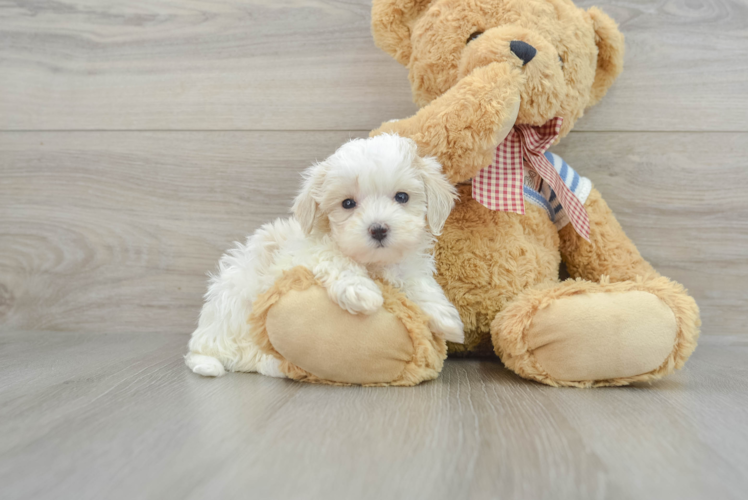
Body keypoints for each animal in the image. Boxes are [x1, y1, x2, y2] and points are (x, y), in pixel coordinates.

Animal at [186, 135, 462, 376]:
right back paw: (273, 364)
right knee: (241, 354)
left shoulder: (405, 263)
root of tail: (201, 340)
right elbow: (333, 257)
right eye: (347, 203)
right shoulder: (303, 252)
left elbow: (417, 281)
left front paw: (444, 316)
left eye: (402, 197)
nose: (378, 229)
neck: (372, 263)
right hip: (238, 299)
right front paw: (361, 291)